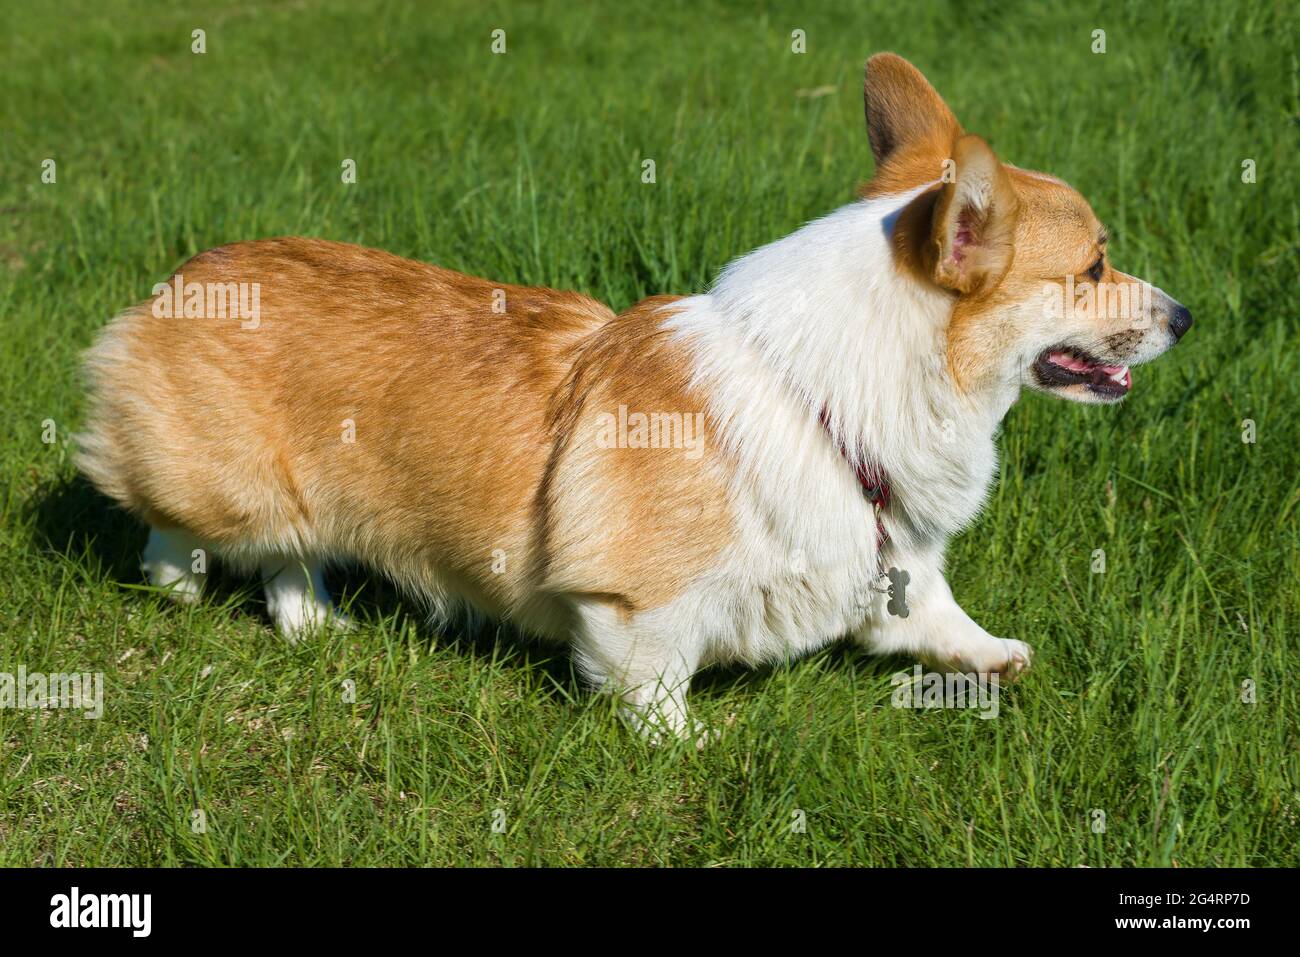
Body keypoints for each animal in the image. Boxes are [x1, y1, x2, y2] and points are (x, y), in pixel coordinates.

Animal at [73, 52, 1190, 738]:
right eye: (1094, 267)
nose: (1184, 316)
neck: (826, 397)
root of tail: (186, 277)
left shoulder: (885, 567)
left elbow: (936, 617)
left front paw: (993, 656)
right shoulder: (634, 609)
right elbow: (652, 688)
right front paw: (687, 745)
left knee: (290, 563)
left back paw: (317, 626)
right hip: (226, 487)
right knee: (177, 526)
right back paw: (177, 586)